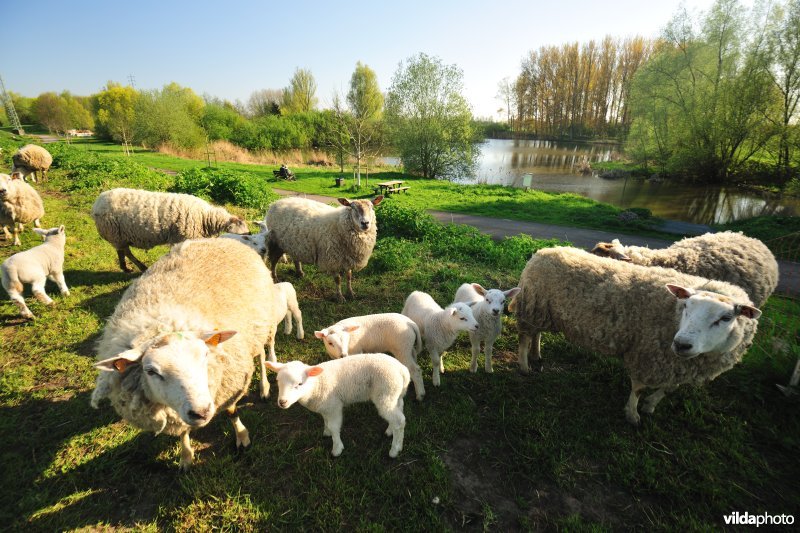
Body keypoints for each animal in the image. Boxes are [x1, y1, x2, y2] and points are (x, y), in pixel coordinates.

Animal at [90, 188, 250, 272]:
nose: (250, 234)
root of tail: (96, 204)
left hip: (119, 236)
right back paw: (138, 267)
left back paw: (126, 267)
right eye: (242, 227)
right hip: (115, 234)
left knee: (122, 252)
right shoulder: (181, 237)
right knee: (126, 252)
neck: (206, 218)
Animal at [91, 239, 276, 468]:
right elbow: (182, 431)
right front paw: (186, 456)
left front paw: (242, 437)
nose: (201, 412)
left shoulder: (230, 383)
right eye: (151, 372)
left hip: (261, 325)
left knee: (261, 354)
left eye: (205, 356)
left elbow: (232, 412)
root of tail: (217, 239)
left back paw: (264, 387)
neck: (161, 324)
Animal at [266, 354, 410, 458]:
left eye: (300, 384)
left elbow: (334, 427)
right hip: (395, 394)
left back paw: (395, 450)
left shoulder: (333, 406)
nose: (282, 402)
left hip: (386, 392)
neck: (316, 384)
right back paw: (390, 431)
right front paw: (326, 432)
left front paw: (336, 449)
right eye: (278, 381)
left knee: (399, 420)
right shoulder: (325, 406)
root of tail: (402, 370)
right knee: (399, 409)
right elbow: (326, 421)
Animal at [512, 247, 764, 426]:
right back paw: (524, 365)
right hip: (533, 306)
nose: (682, 344)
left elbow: (667, 389)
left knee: (537, 333)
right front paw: (633, 415)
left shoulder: (676, 365)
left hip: (544, 310)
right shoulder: (648, 355)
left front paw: (650, 406)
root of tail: (543, 251)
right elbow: (639, 389)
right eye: (686, 306)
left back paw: (536, 355)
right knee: (525, 337)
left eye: (726, 318)